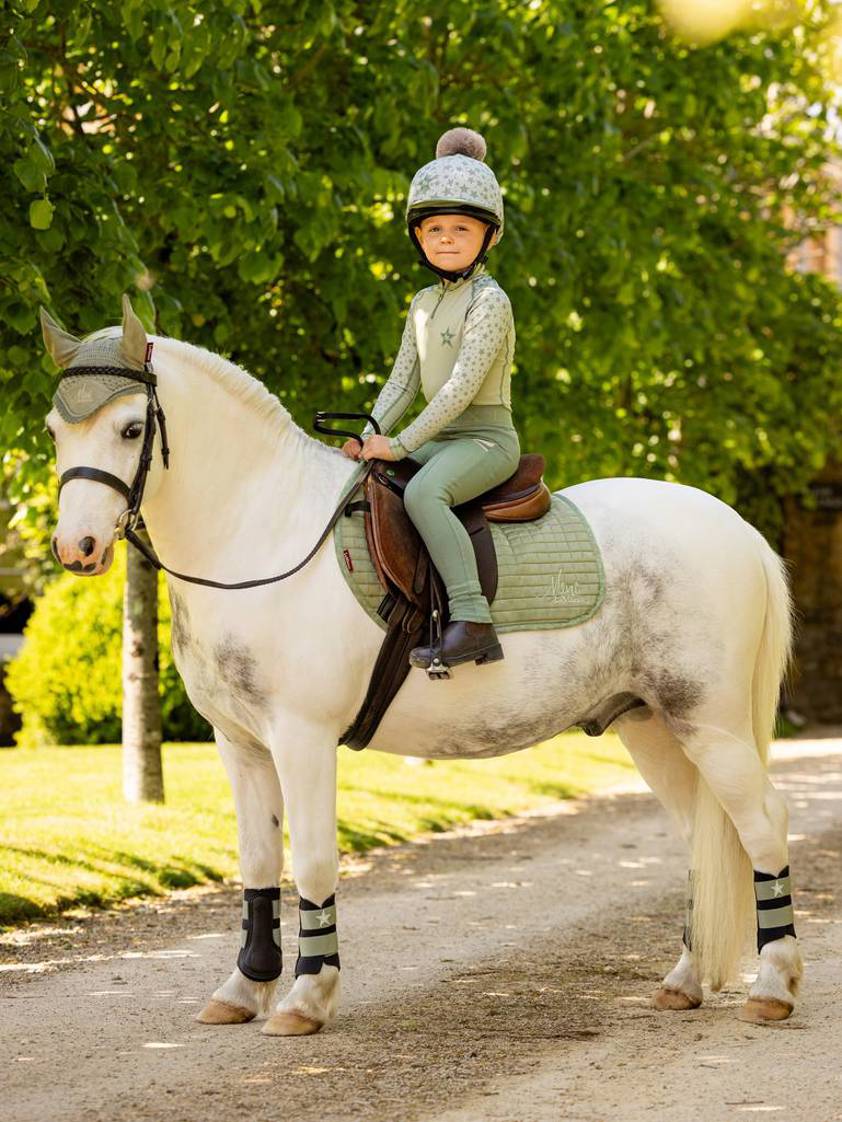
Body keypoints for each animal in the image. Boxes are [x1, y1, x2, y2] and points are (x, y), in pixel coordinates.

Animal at [44, 305, 803, 1032]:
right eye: (55, 429)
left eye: (131, 428)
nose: (76, 547)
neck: (267, 532)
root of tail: (736, 528)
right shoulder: (241, 745)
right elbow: (257, 863)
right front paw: (243, 987)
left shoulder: (302, 738)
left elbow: (311, 858)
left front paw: (305, 998)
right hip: (652, 728)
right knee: (703, 836)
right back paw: (684, 981)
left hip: (709, 723)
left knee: (763, 821)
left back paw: (773, 986)